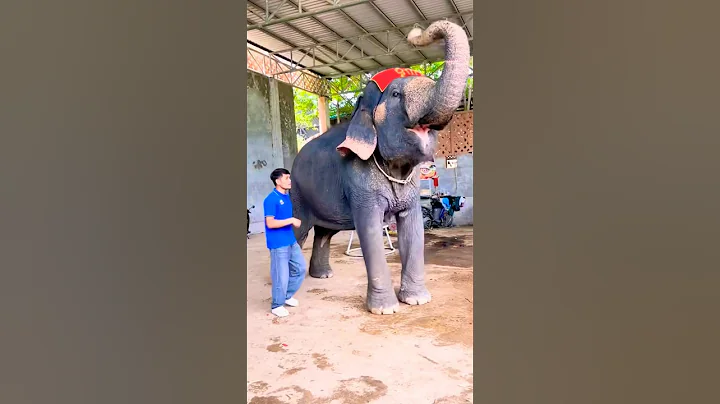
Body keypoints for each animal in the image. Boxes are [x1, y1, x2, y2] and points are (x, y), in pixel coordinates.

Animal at [289, 20, 470, 315]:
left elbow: (413, 229)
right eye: (396, 94)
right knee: (297, 231)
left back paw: (323, 276)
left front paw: (417, 300)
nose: (415, 31)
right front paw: (385, 310)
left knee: (325, 233)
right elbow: (370, 230)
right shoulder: (358, 181)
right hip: (297, 194)